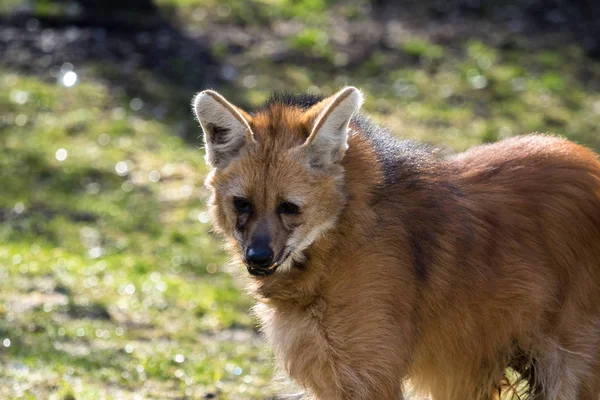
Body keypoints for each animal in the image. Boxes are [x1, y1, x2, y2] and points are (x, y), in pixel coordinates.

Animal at [191, 86, 600, 398]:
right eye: (242, 203)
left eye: (289, 207)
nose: (257, 258)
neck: (335, 241)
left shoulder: (368, 375)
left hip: (569, 364)